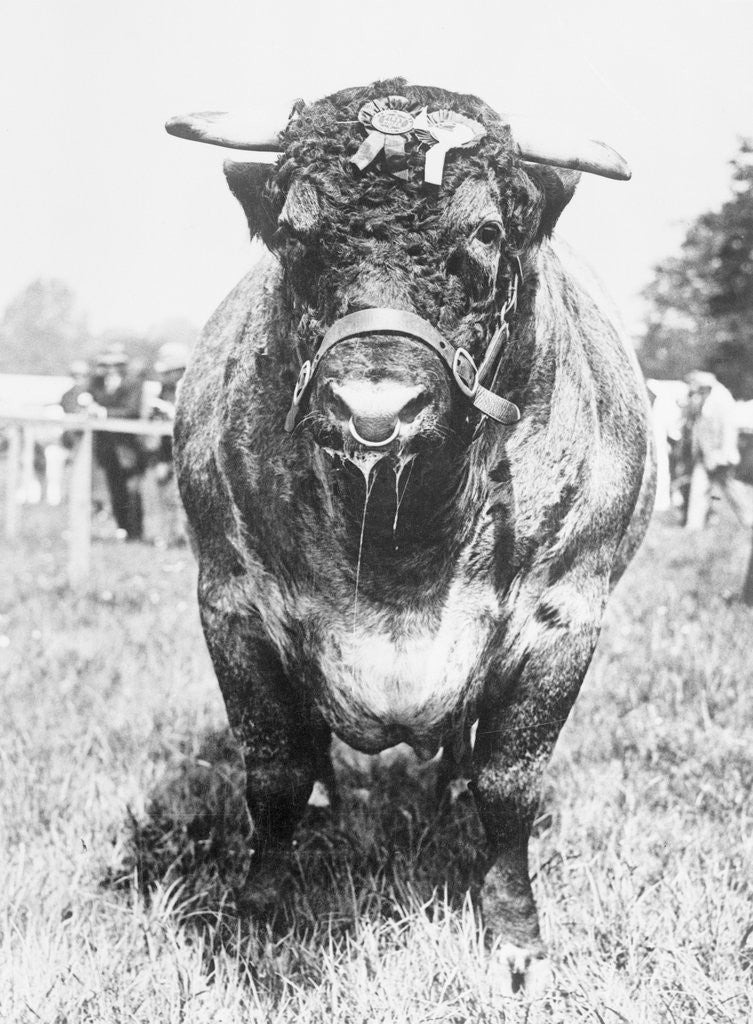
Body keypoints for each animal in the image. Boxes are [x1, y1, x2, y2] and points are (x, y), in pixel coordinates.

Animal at [166, 79, 656, 997]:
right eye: (294, 230)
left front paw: (515, 940)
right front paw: (253, 919)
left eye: (486, 232)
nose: (373, 409)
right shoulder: (231, 602)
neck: (406, 541)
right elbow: (274, 775)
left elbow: (507, 783)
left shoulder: (565, 618)